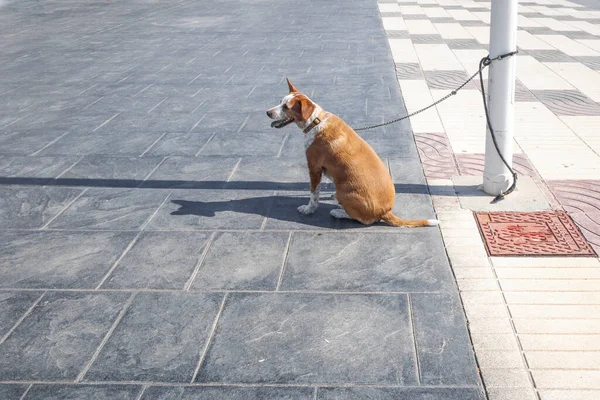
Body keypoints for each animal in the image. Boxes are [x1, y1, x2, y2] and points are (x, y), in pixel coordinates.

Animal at [270, 79, 438, 228]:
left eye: (286, 107)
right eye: (280, 102)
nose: (267, 112)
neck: (315, 122)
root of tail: (385, 211)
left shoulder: (314, 168)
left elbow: (313, 195)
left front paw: (308, 209)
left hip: (345, 191)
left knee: (365, 220)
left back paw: (338, 212)